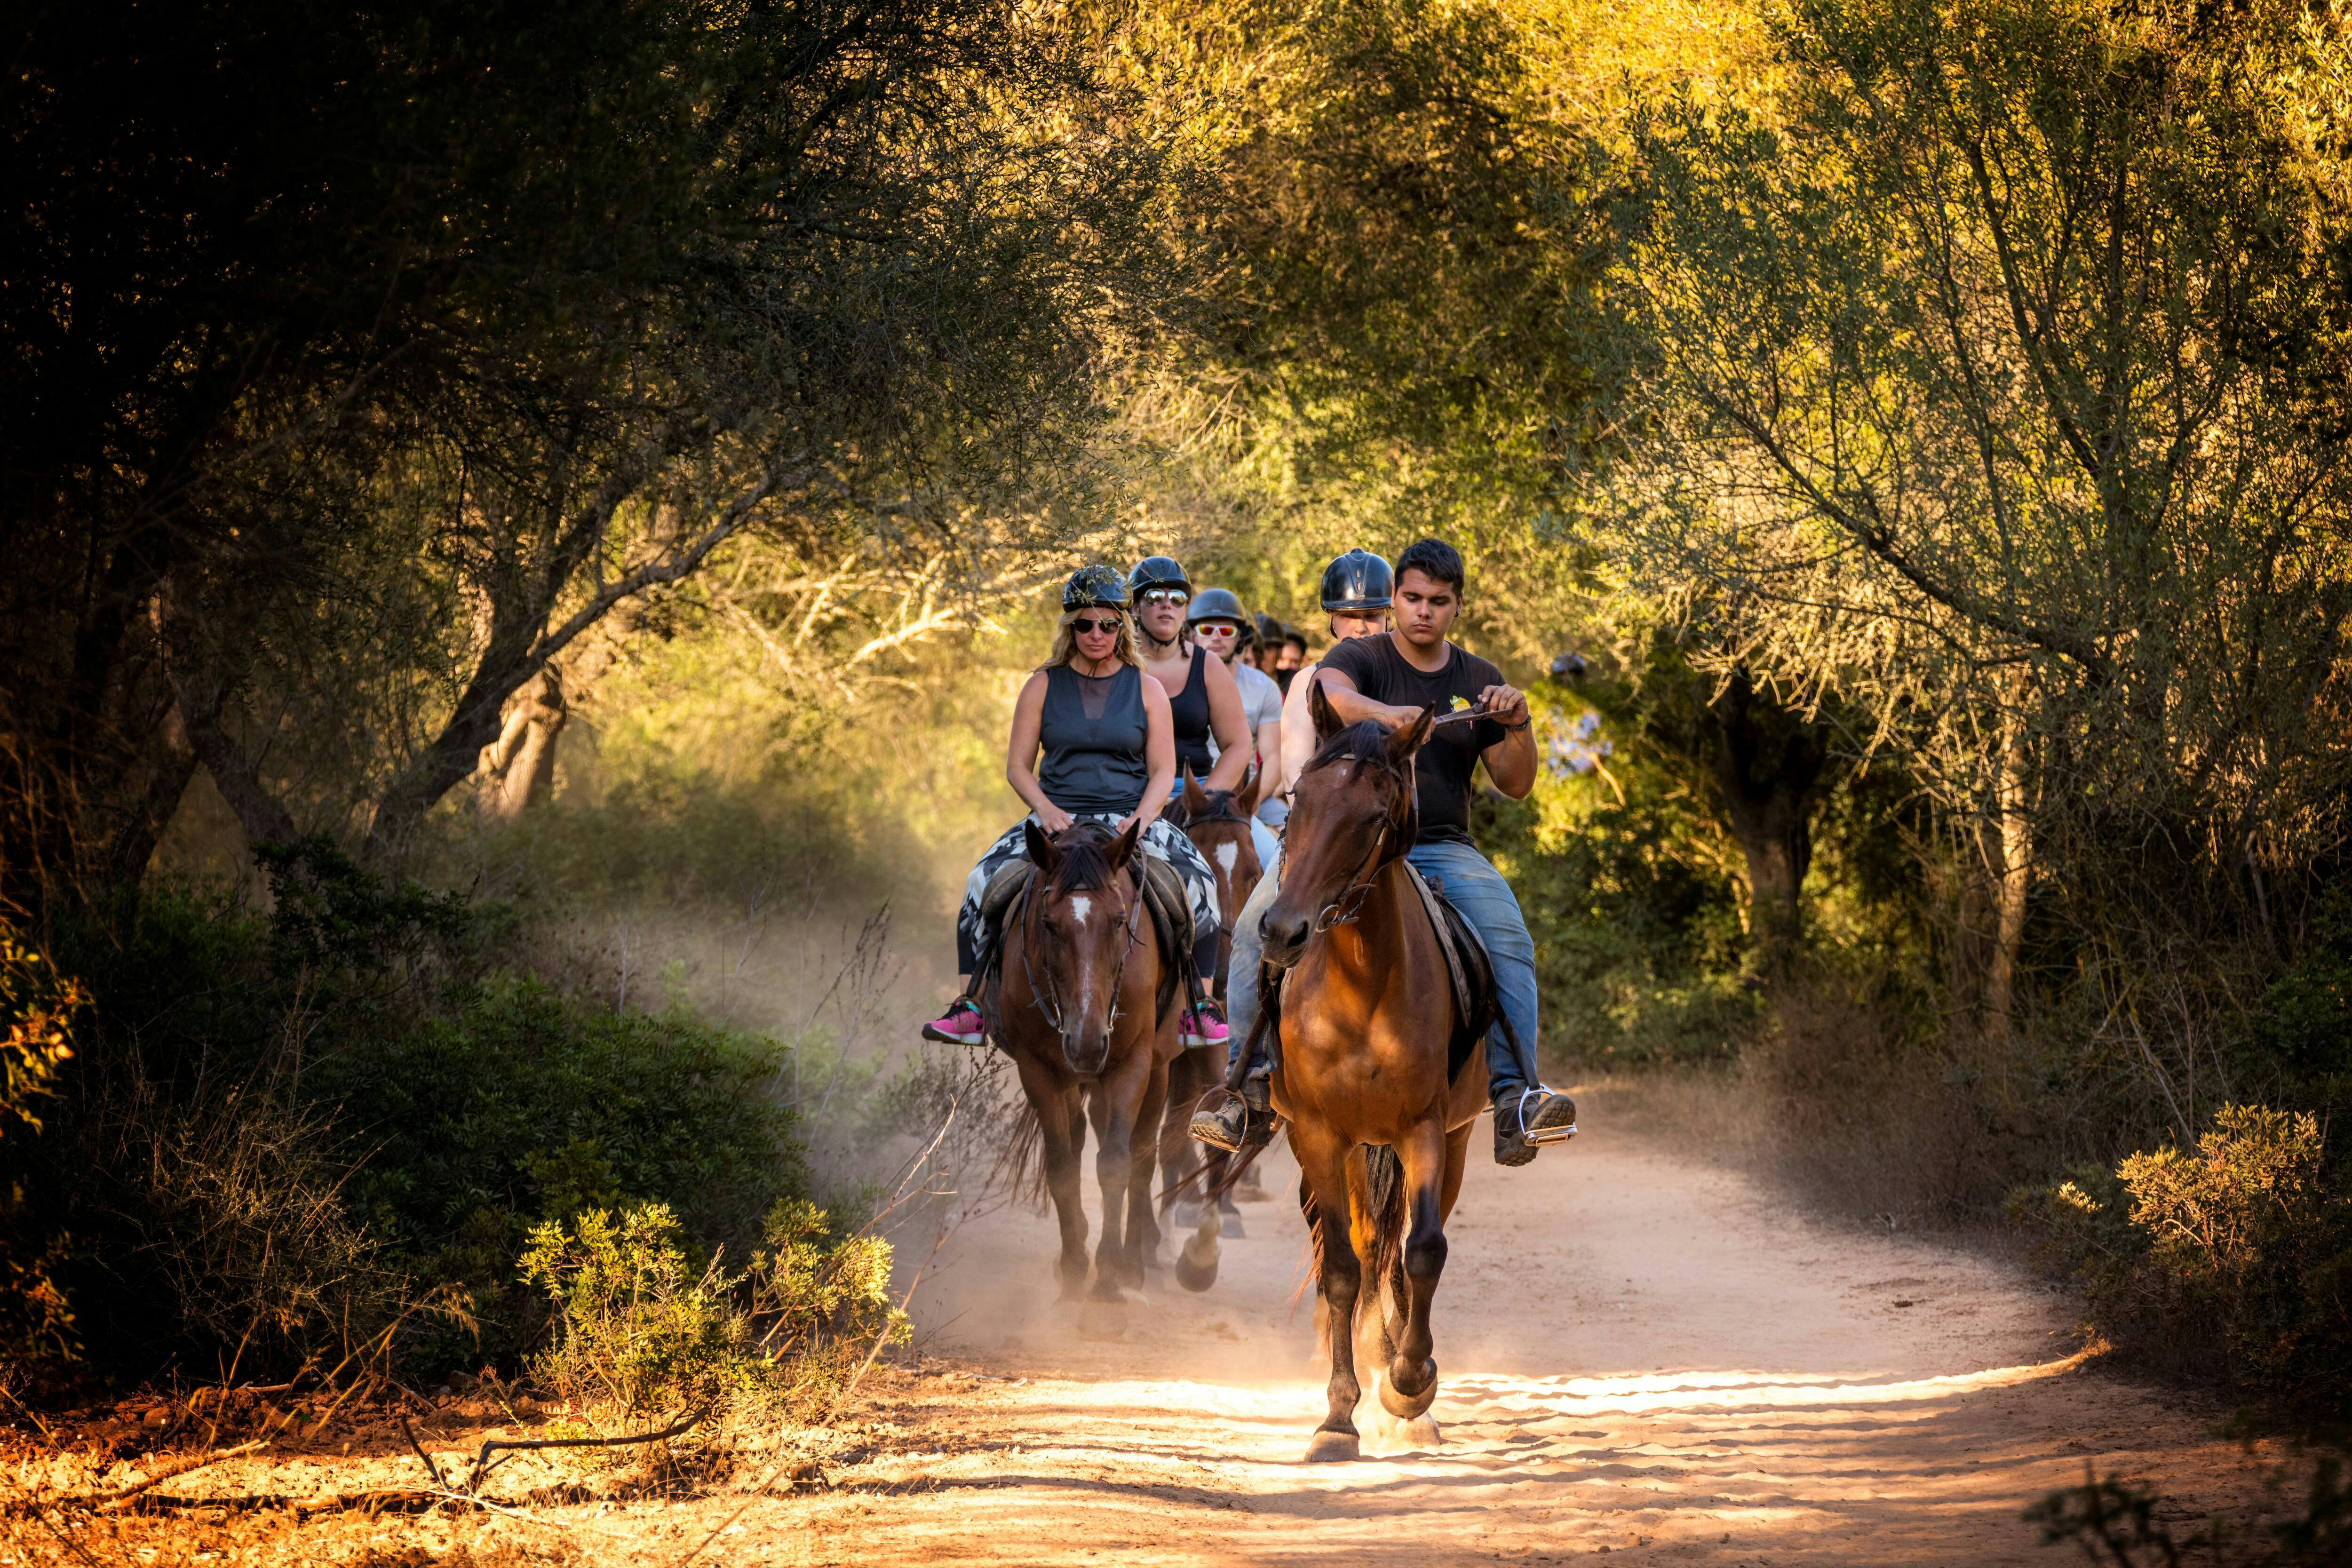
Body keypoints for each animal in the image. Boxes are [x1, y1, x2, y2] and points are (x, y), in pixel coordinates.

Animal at [988, 818, 1185, 1335]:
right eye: (1049, 925)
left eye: (1118, 921)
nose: (1087, 1041)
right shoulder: (1037, 1069)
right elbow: (1061, 1166)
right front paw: (1077, 1271)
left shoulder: (1130, 1063)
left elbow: (1116, 1164)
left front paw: (1107, 1288)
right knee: (1077, 1141)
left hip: (1157, 1067)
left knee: (1143, 1154)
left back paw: (1133, 1266)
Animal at [1261, 691, 1477, 1467]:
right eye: (1298, 801)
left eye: (1373, 818)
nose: (1283, 932)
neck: (1360, 981)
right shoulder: (1319, 1135)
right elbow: (1342, 1270)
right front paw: (1337, 1418)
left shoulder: (1425, 1129)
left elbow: (1423, 1251)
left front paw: (1411, 1383)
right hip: (1350, 1149)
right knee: (1361, 1245)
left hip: (1451, 1140)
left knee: (1402, 1248)